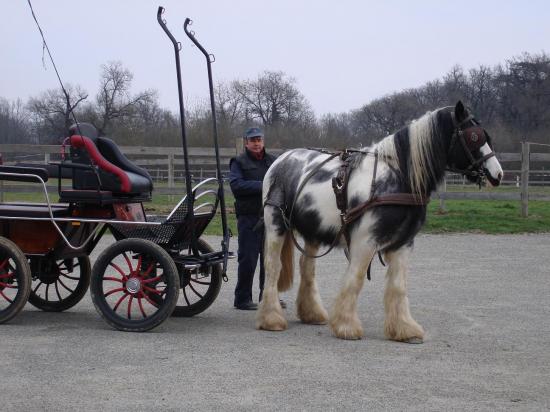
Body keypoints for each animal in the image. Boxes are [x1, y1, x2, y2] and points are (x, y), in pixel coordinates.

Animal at [258, 100, 504, 342]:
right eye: (474, 137)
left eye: (486, 136)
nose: (497, 174)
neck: (399, 178)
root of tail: (281, 159)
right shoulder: (365, 241)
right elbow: (355, 279)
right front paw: (346, 326)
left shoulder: (403, 243)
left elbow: (398, 286)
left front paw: (404, 329)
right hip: (276, 224)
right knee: (272, 266)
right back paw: (271, 319)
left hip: (314, 231)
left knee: (307, 267)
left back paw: (312, 314)